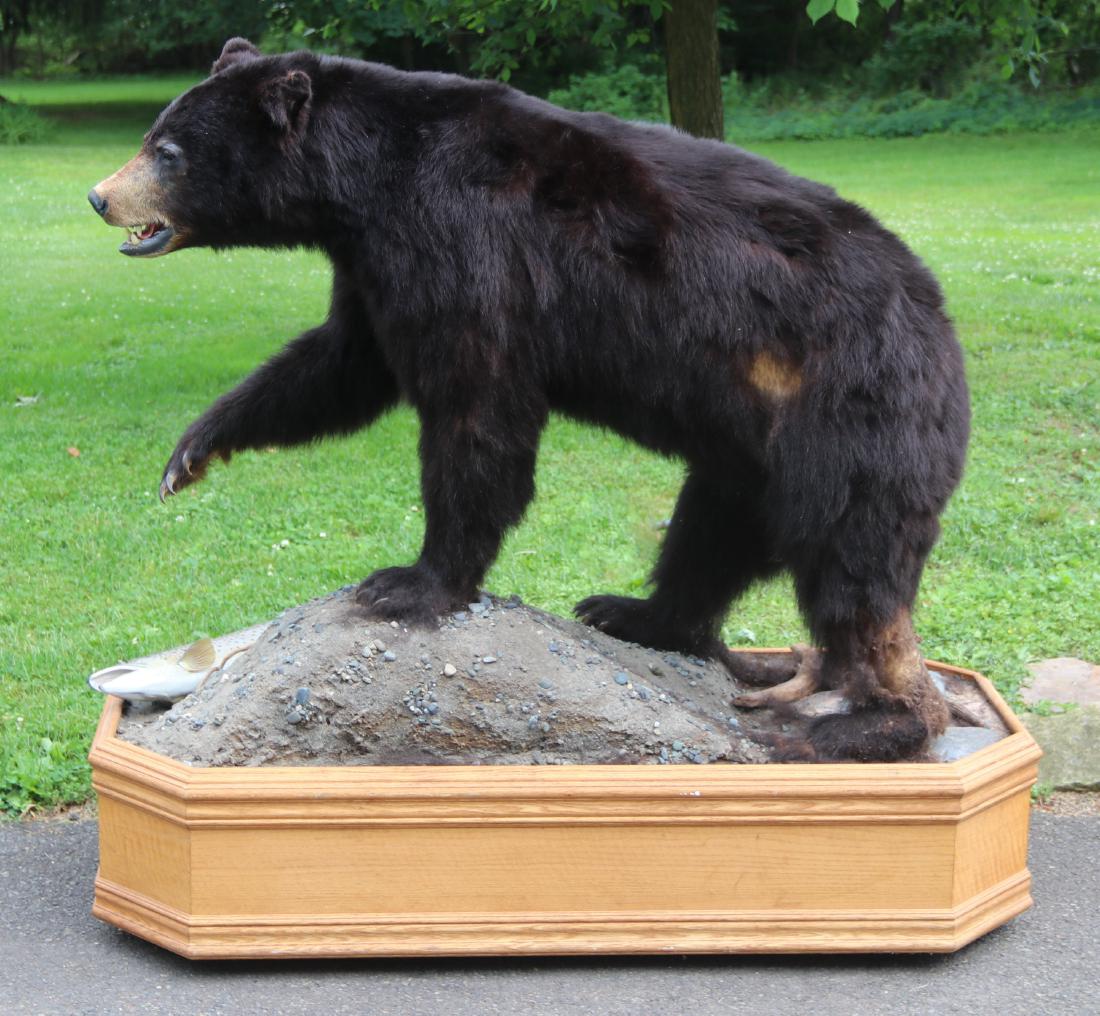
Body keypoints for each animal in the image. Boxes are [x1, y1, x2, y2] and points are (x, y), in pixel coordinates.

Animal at [88, 38, 970, 762]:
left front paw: (408, 582)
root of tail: (944, 336)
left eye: (166, 149)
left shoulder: (462, 242)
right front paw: (194, 450)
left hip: (848, 422)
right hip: (750, 446)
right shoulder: (374, 262)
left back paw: (858, 721)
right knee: (711, 533)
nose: (100, 196)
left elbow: (476, 412)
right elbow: (341, 365)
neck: (368, 182)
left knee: (852, 577)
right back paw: (637, 614)